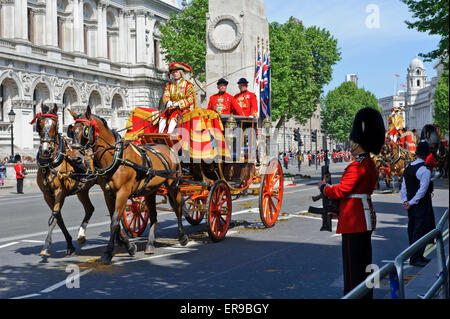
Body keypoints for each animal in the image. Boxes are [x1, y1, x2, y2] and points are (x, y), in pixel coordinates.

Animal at [33, 105, 96, 258]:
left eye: (55, 125)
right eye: (40, 124)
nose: (45, 150)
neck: (50, 164)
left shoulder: (60, 192)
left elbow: (55, 216)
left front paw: (47, 246)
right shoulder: (47, 195)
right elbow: (59, 218)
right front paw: (69, 245)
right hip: (82, 191)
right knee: (90, 209)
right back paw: (81, 236)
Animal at [67, 105, 186, 264]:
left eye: (85, 131)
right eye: (72, 130)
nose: (75, 158)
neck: (117, 157)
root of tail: (168, 147)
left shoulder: (123, 193)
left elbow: (114, 222)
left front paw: (109, 252)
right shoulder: (108, 194)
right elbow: (115, 222)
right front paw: (129, 247)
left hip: (173, 185)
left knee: (178, 207)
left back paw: (182, 236)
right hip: (150, 190)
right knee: (153, 215)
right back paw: (150, 244)